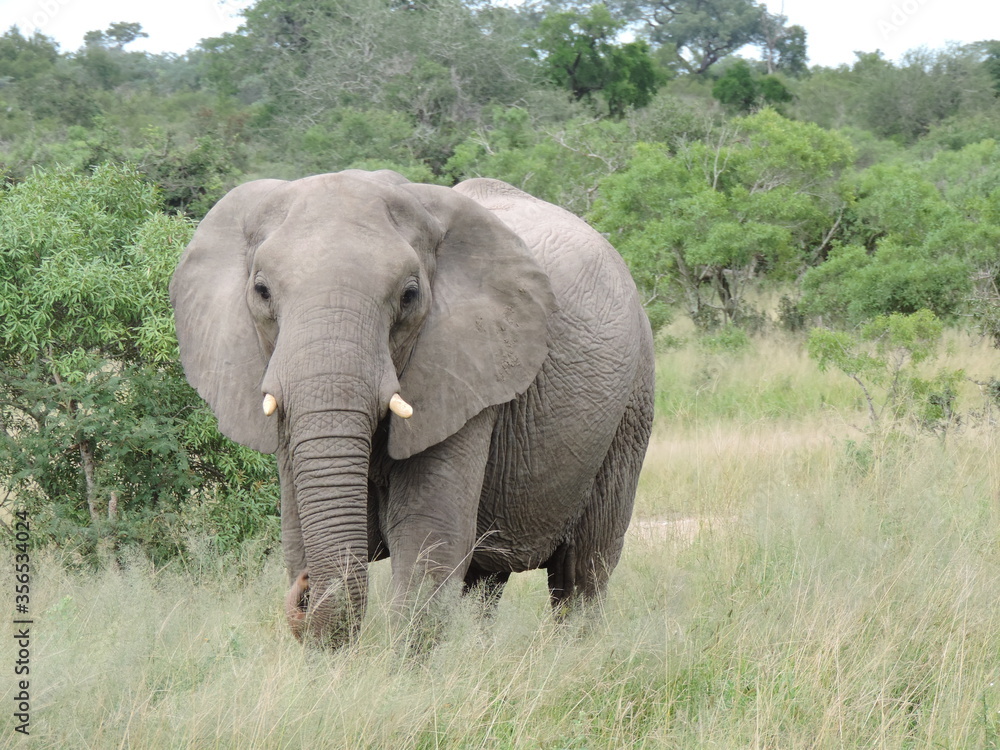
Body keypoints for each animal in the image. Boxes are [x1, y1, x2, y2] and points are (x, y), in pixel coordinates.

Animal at [172, 170, 656, 648]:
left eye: (409, 295)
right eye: (261, 291)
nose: (304, 590)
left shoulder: (463, 368)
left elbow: (428, 535)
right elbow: (298, 532)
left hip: (632, 405)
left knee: (583, 569)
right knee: (487, 580)